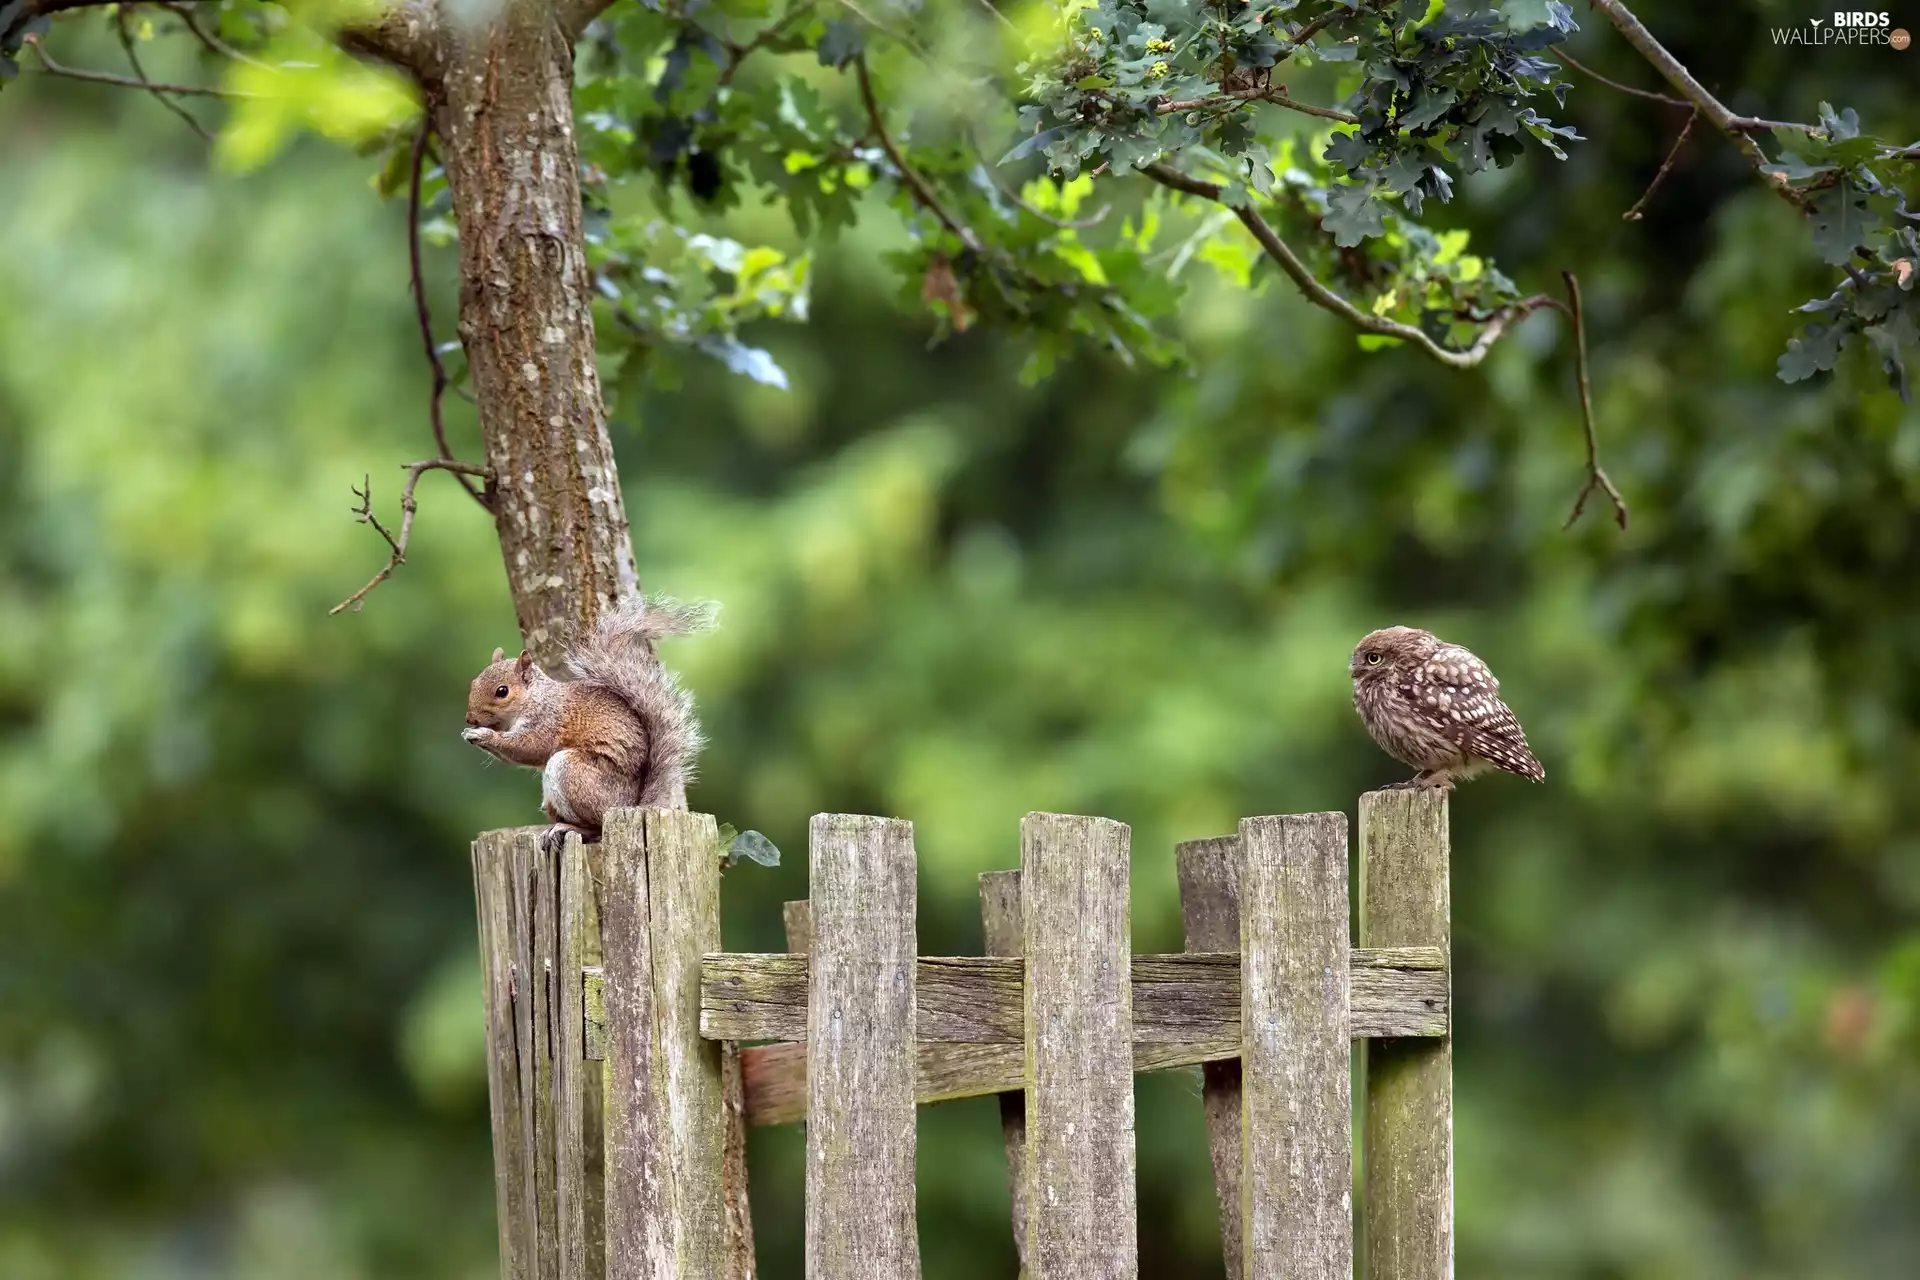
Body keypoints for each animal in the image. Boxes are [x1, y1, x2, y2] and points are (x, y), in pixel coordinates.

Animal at [461, 596, 716, 850]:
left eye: (502, 691)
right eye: (474, 682)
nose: (470, 718)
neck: (535, 698)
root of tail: (632, 806)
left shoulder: (548, 721)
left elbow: (529, 748)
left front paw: (484, 735)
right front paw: (470, 733)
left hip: (572, 772)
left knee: (597, 827)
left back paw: (569, 828)